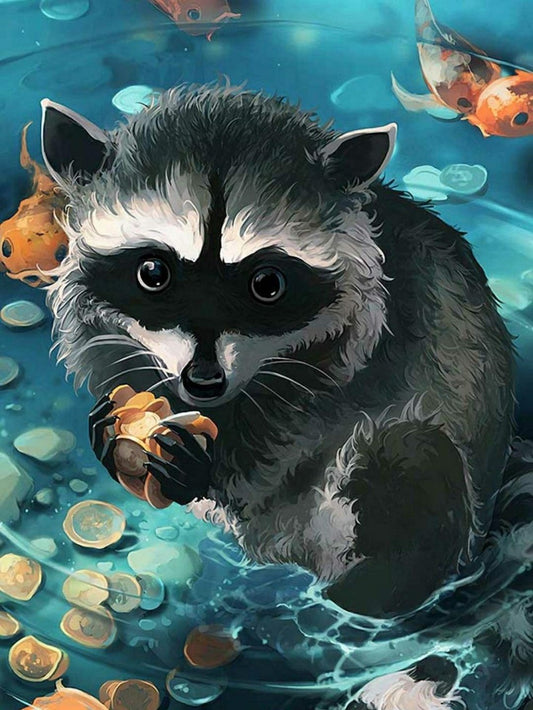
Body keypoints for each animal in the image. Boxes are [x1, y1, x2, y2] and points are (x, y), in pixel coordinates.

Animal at [40, 84, 514, 619]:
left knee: (408, 457)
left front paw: (204, 468)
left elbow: (276, 451)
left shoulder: (359, 345)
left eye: (267, 284)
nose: (203, 381)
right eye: (153, 273)